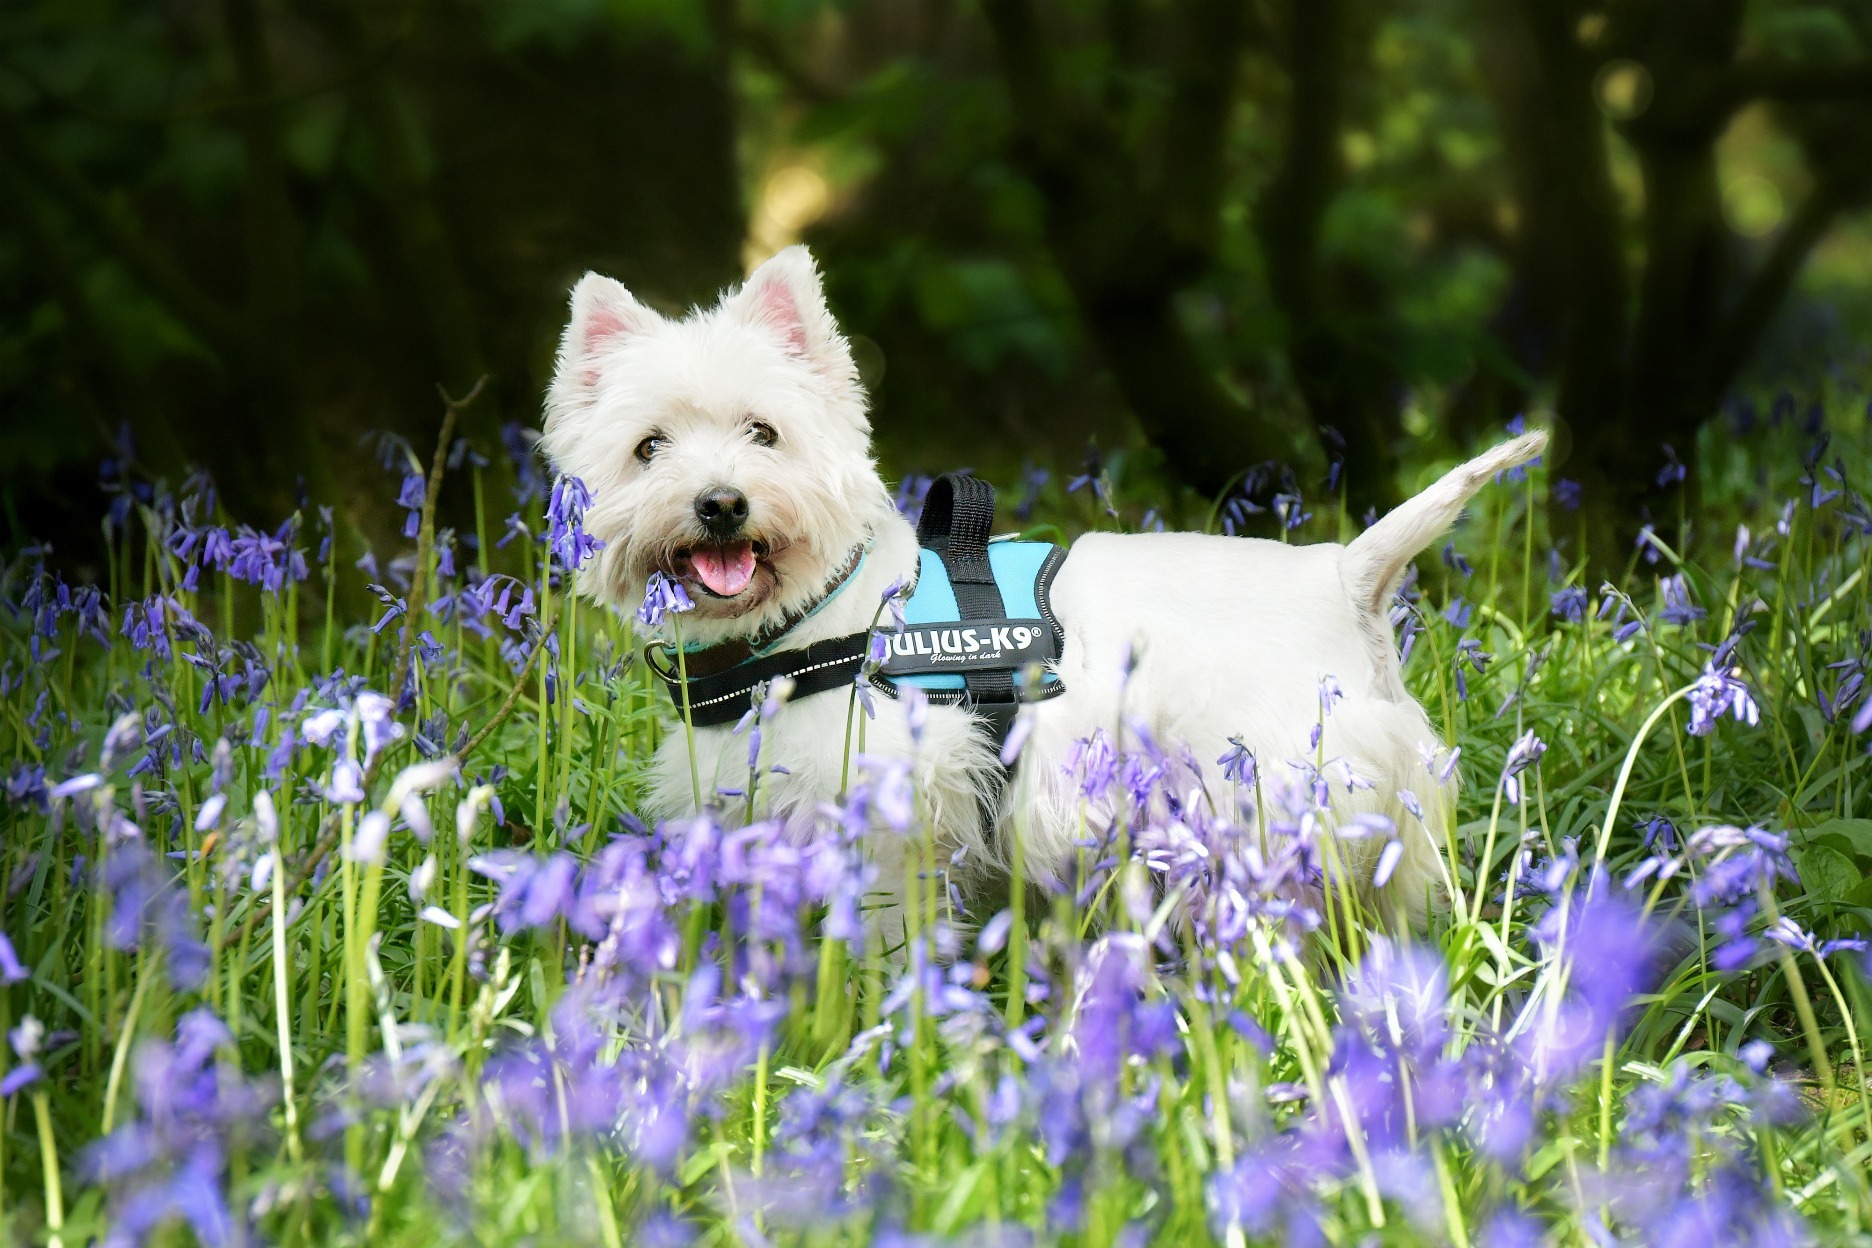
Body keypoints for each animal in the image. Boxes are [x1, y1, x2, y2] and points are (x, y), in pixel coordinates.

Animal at [546, 246, 1550, 928]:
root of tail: (1348, 572)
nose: (721, 504)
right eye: (649, 447)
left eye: (764, 432)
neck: (805, 625)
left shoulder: (899, 819)